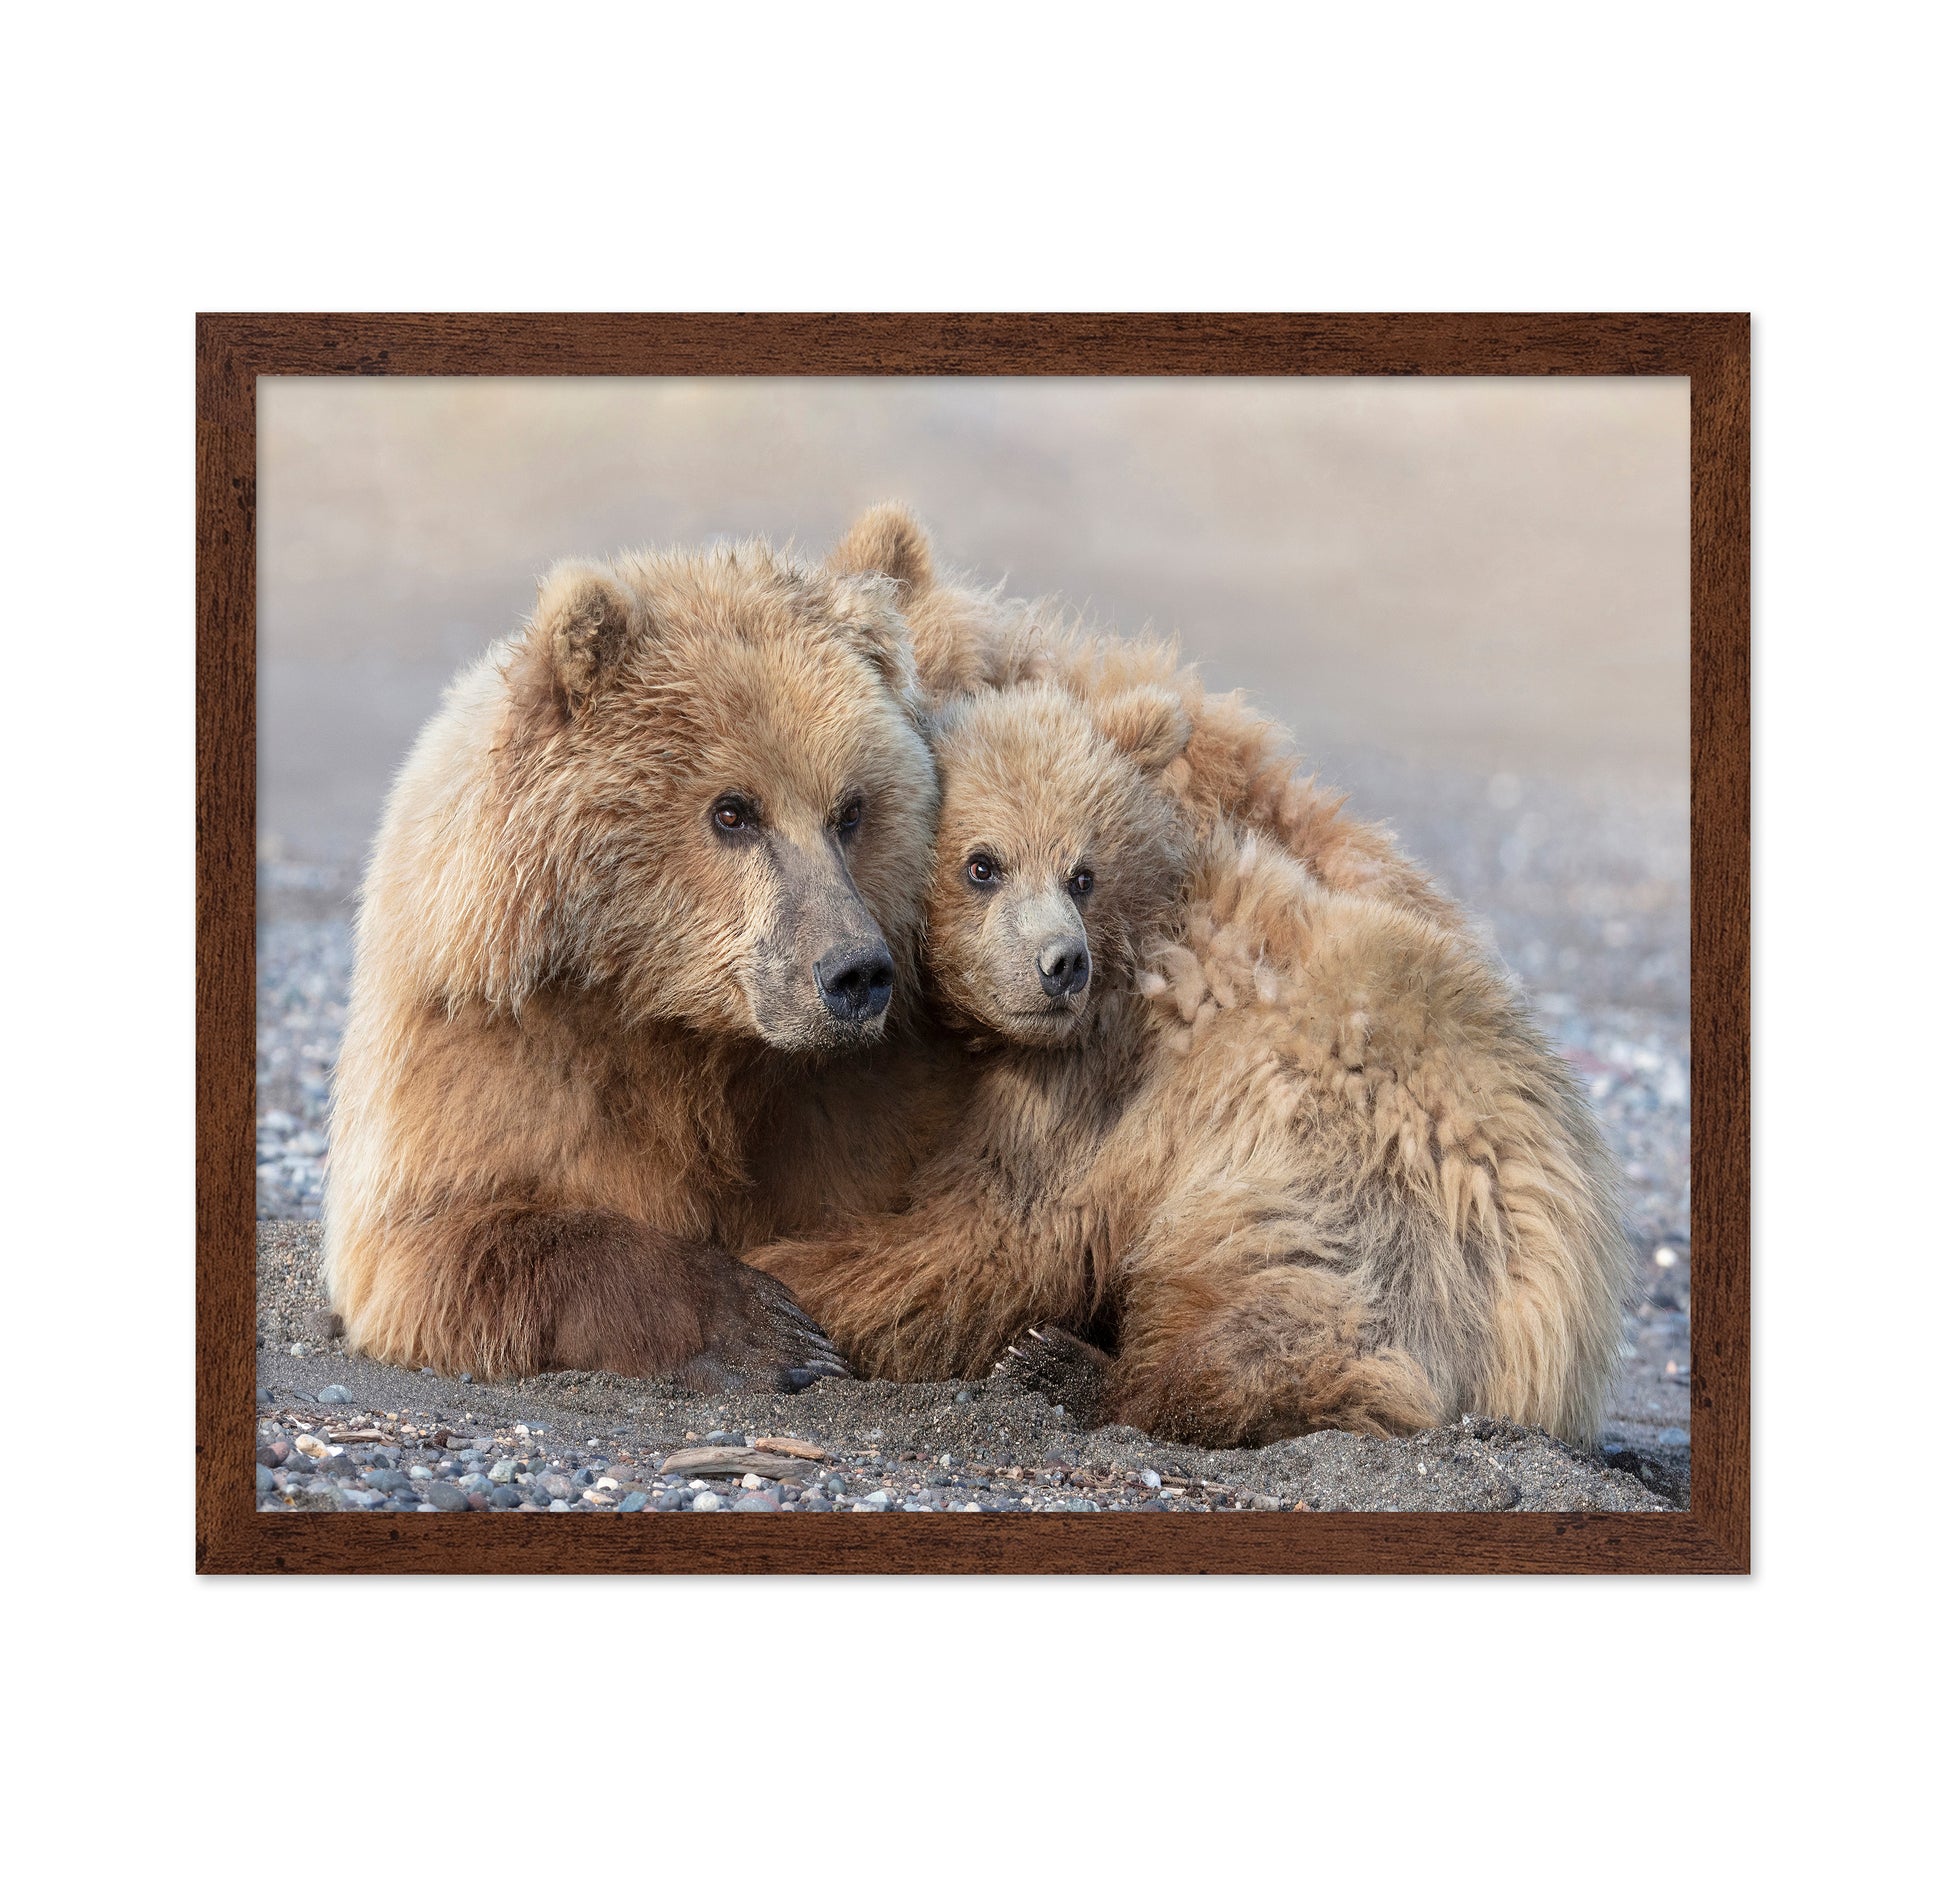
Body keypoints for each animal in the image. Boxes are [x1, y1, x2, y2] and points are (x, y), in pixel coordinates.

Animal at [322, 532, 965, 1386]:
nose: (854, 973)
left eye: (851, 810)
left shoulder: (859, 1099)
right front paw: (766, 1324)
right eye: (732, 811)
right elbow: (443, 1241)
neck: (675, 1026)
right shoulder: (487, 1057)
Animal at [748, 679, 1632, 1447]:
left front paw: (780, 1277)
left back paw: (1067, 1367)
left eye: (1082, 871)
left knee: (1282, 1323)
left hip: (1350, 1192)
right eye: (982, 863)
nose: (1059, 963)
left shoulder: (1099, 1090)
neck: (1134, 953)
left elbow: (989, 1233)